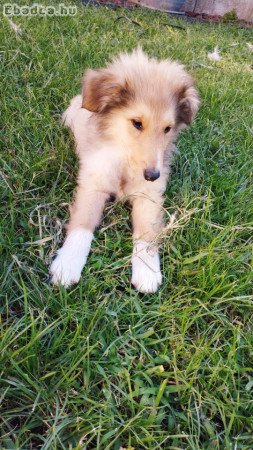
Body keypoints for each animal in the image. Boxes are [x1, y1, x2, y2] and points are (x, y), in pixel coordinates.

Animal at [49, 48, 200, 292]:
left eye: (167, 128)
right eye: (137, 123)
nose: (152, 175)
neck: (125, 162)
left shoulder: (149, 195)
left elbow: (147, 234)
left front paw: (147, 271)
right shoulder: (93, 185)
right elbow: (82, 225)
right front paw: (67, 264)